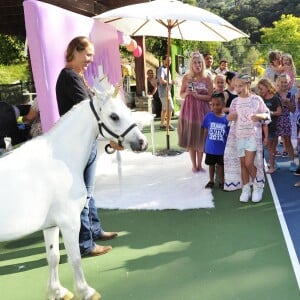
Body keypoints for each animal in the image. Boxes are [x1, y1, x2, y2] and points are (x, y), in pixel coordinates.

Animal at [0, 75, 148, 300]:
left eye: (127, 111)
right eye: (114, 116)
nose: (142, 142)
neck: (60, 159)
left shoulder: (51, 225)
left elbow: (53, 257)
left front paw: (58, 291)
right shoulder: (69, 222)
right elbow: (75, 258)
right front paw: (86, 291)